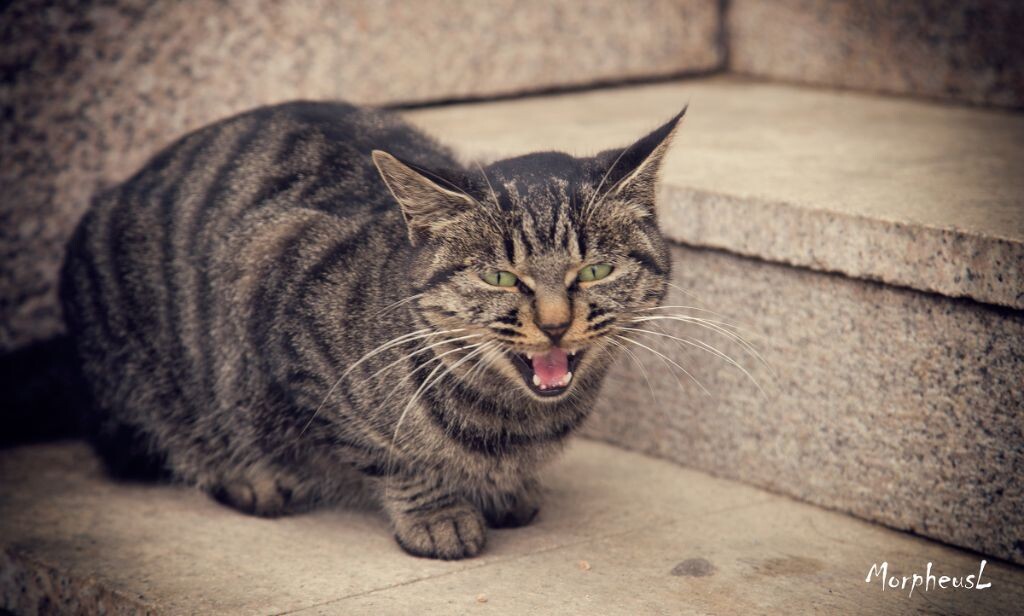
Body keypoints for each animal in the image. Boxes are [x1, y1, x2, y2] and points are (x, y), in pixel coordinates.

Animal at [59, 99, 684, 556]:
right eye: (500, 277)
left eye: (596, 270)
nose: (555, 324)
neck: (511, 423)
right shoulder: (291, 335)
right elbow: (393, 456)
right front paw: (438, 513)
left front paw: (504, 489)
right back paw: (243, 474)